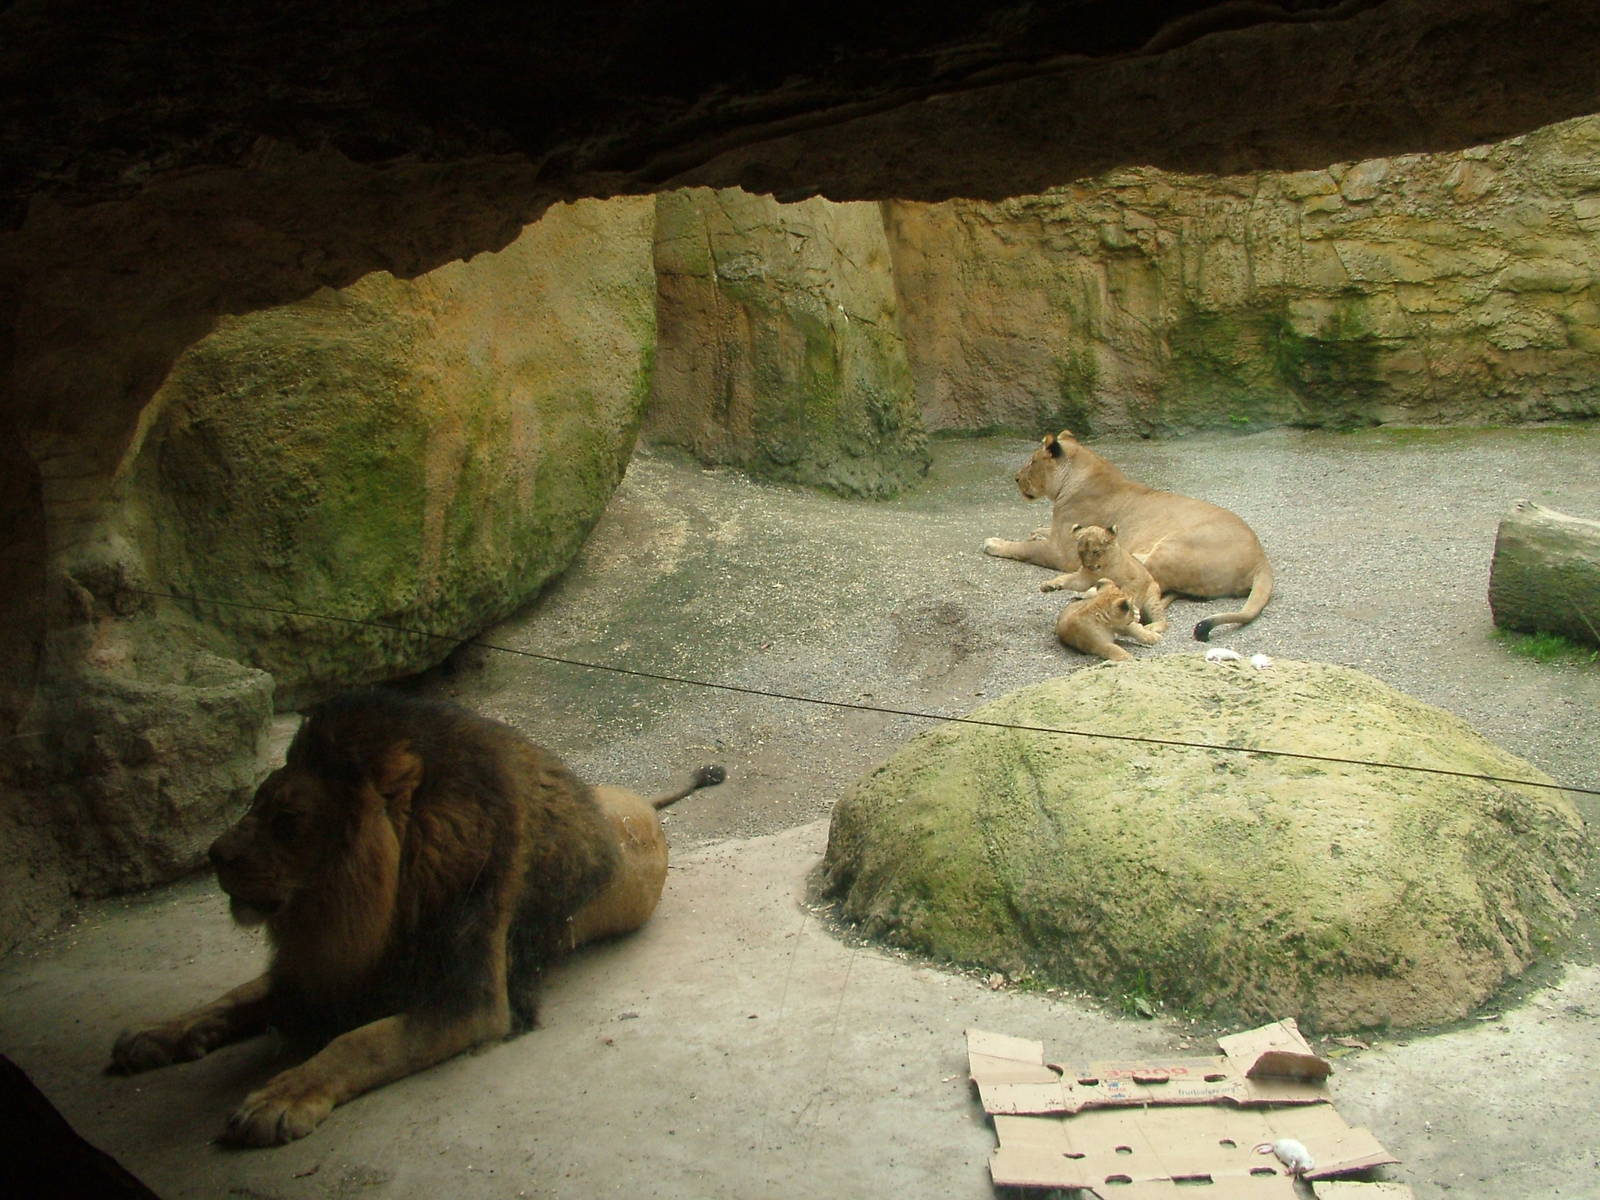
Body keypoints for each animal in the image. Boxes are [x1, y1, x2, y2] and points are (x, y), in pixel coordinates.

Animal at [108, 689, 723, 1147]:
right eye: (255, 803)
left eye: (287, 820)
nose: (214, 855)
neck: (360, 908)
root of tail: (639, 802)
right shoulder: (324, 969)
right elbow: (238, 996)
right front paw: (161, 1032)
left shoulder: (470, 1002)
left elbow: (359, 1042)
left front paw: (280, 1099)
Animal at [984, 431, 1273, 640]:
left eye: (1032, 462)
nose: (1016, 478)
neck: (1080, 474)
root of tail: (1261, 560)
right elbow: (1040, 534)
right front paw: (1036, 532)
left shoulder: (1062, 552)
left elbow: (1024, 549)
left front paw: (994, 543)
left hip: (1165, 552)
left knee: (1140, 586)